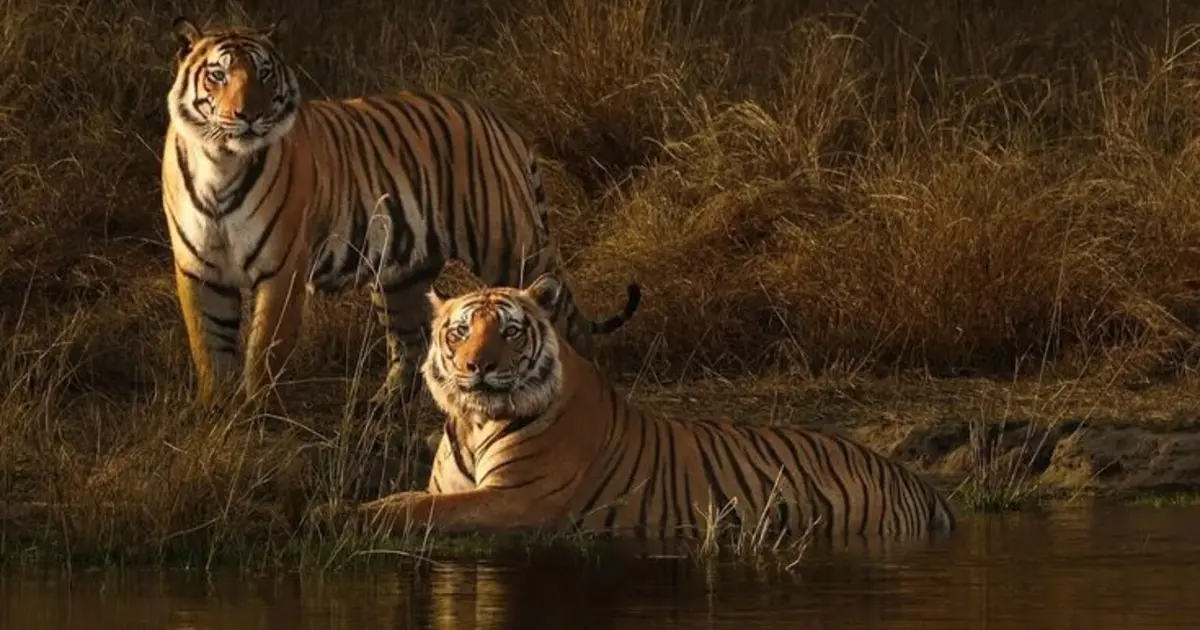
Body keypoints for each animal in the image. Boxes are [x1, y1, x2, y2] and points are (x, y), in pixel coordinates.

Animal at [160, 17, 642, 409]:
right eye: (218, 75)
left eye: (264, 73)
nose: (248, 116)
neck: (221, 163)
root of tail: (501, 122)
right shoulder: (199, 269)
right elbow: (209, 344)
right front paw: (216, 410)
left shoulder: (281, 270)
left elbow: (265, 348)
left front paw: (256, 408)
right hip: (399, 273)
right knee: (410, 342)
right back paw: (383, 404)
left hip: (512, 248)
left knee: (563, 319)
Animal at [351, 273, 957, 543]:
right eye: (459, 332)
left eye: (509, 331)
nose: (476, 365)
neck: (474, 422)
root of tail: (916, 480)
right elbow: (412, 500)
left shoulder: (516, 501)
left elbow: (416, 510)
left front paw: (342, 516)